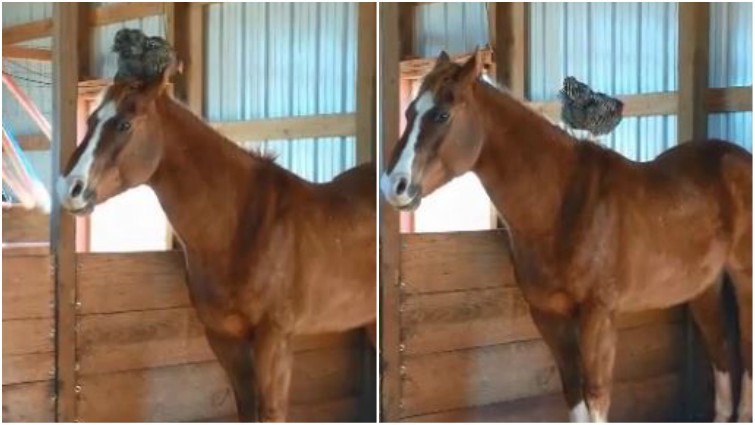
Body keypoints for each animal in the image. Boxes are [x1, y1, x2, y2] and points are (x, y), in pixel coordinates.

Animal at [57, 66, 376, 422]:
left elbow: (271, 411)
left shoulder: (274, 338)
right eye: (91, 121)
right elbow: (246, 408)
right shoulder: (224, 338)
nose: (69, 189)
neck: (243, 226)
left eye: (125, 123)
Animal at [381, 50, 752, 422]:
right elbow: (574, 392)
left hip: (744, 281)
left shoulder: (598, 316)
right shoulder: (549, 317)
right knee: (721, 350)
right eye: (409, 113)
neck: (562, 205)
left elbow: (596, 396)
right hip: (705, 287)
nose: (393, 185)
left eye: (442, 114)